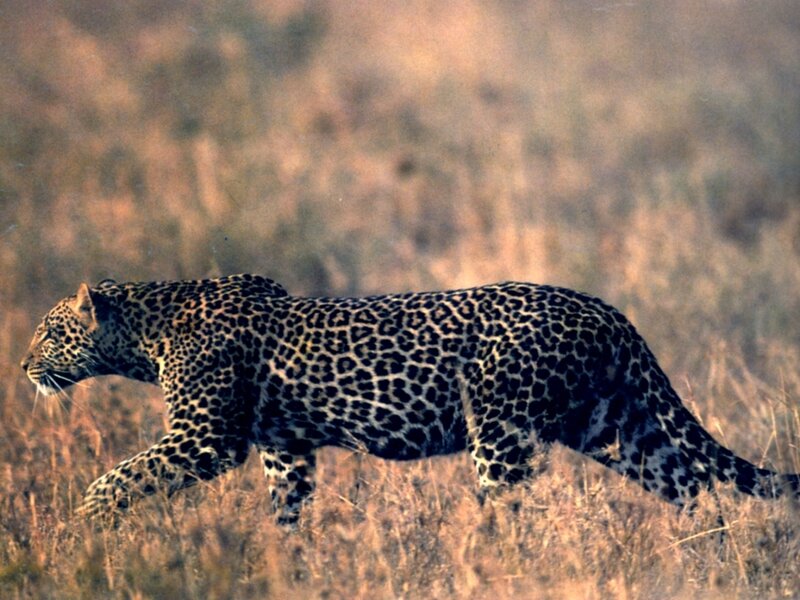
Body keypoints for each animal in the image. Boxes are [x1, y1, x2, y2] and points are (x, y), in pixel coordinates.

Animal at [21, 274, 800, 525]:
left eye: (50, 332)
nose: (24, 365)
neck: (146, 333)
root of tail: (605, 310)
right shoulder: (284, 450)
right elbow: (287, 509)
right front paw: (286, 557)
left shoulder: (205, 438)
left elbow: (121, 475)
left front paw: (85, 524)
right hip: (613, 425)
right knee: (691, 482)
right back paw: (700, 559)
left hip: (504, 436)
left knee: (509, 509)